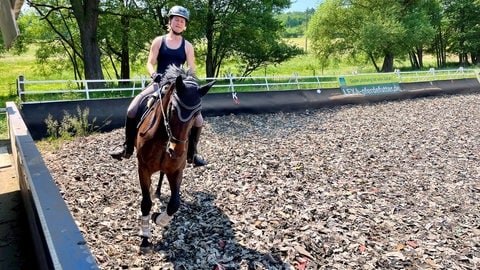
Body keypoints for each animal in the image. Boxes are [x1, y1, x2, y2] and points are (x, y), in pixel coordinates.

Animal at [134, 65, 215, 249]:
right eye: (172, 110)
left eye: (196, 114)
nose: (176, 151)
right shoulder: (143, 169)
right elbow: (146, 202)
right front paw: (145, 235)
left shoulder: (177, 170)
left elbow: (174, 204)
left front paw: (158, 218)